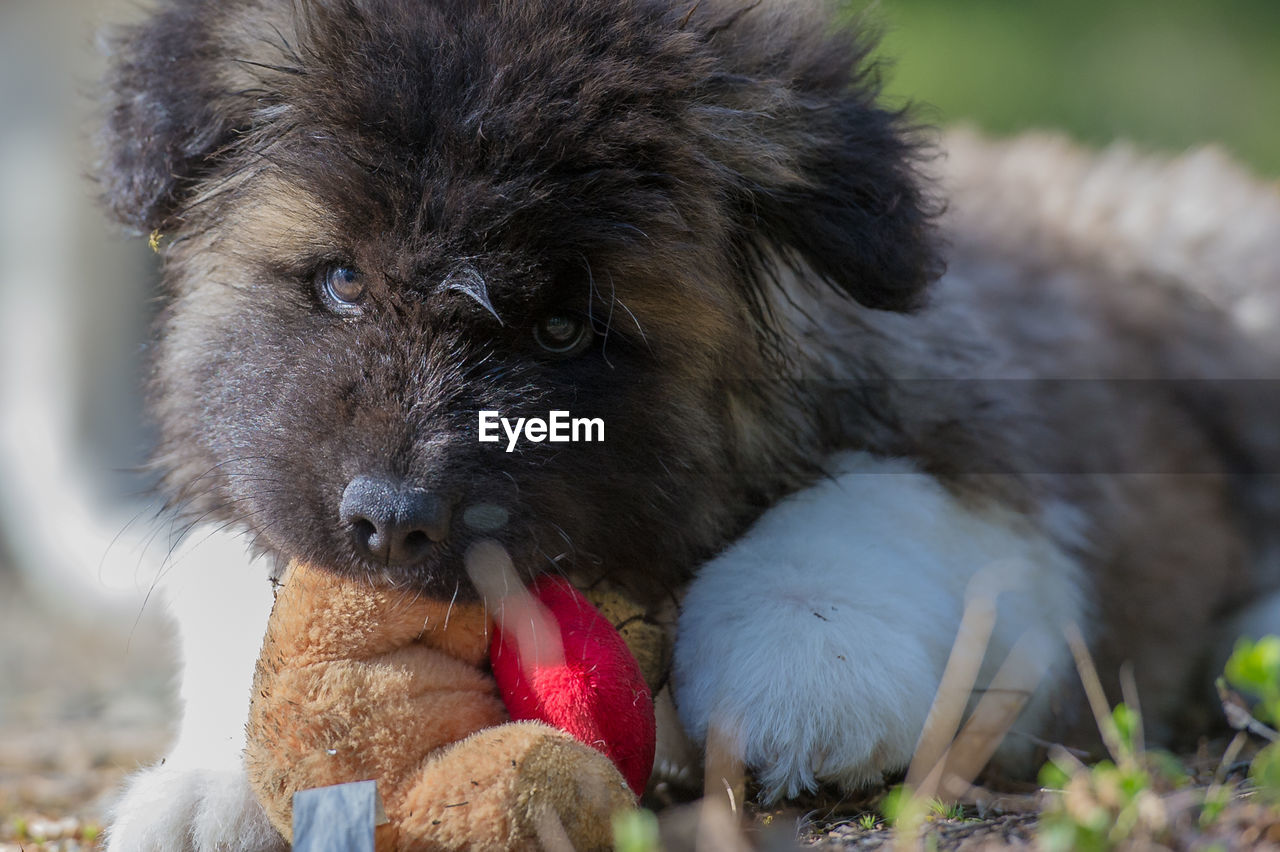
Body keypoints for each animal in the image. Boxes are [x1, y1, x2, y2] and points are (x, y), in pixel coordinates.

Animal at [97, 0, 1280, 844]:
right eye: (341, 280)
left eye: (566, 328)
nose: (391, 520)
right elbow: (238, 589)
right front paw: (217, 781)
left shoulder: (992, 438)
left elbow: (880, 508)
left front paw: (801, 656)